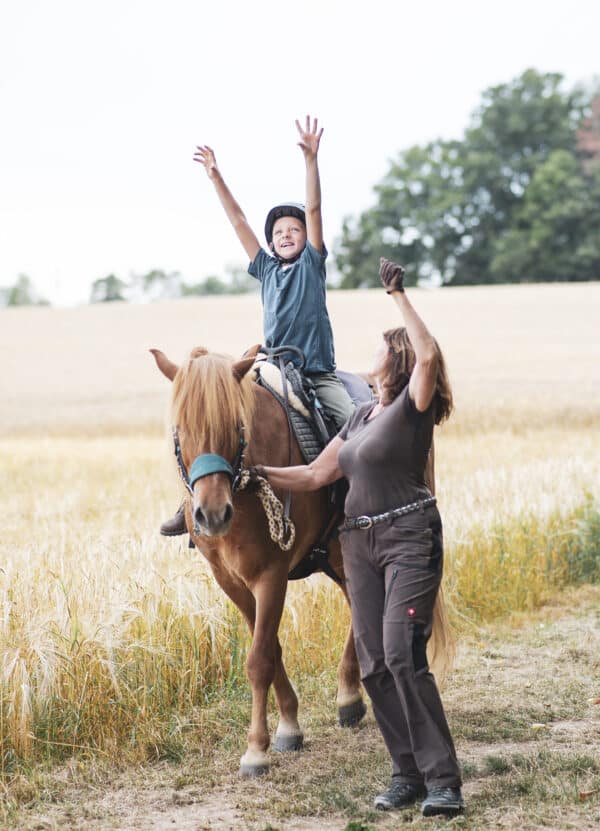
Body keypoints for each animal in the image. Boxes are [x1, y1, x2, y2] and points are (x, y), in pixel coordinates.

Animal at [150, 342, 366, 772]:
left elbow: (258, 658)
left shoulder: (272, 575)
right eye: (180, 431)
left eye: (237, 428)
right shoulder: (230, 580)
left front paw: (255, 749)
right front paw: (288, 727)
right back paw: (351, 693)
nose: (212, 514)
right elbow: (270, 647)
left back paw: (350, 697)